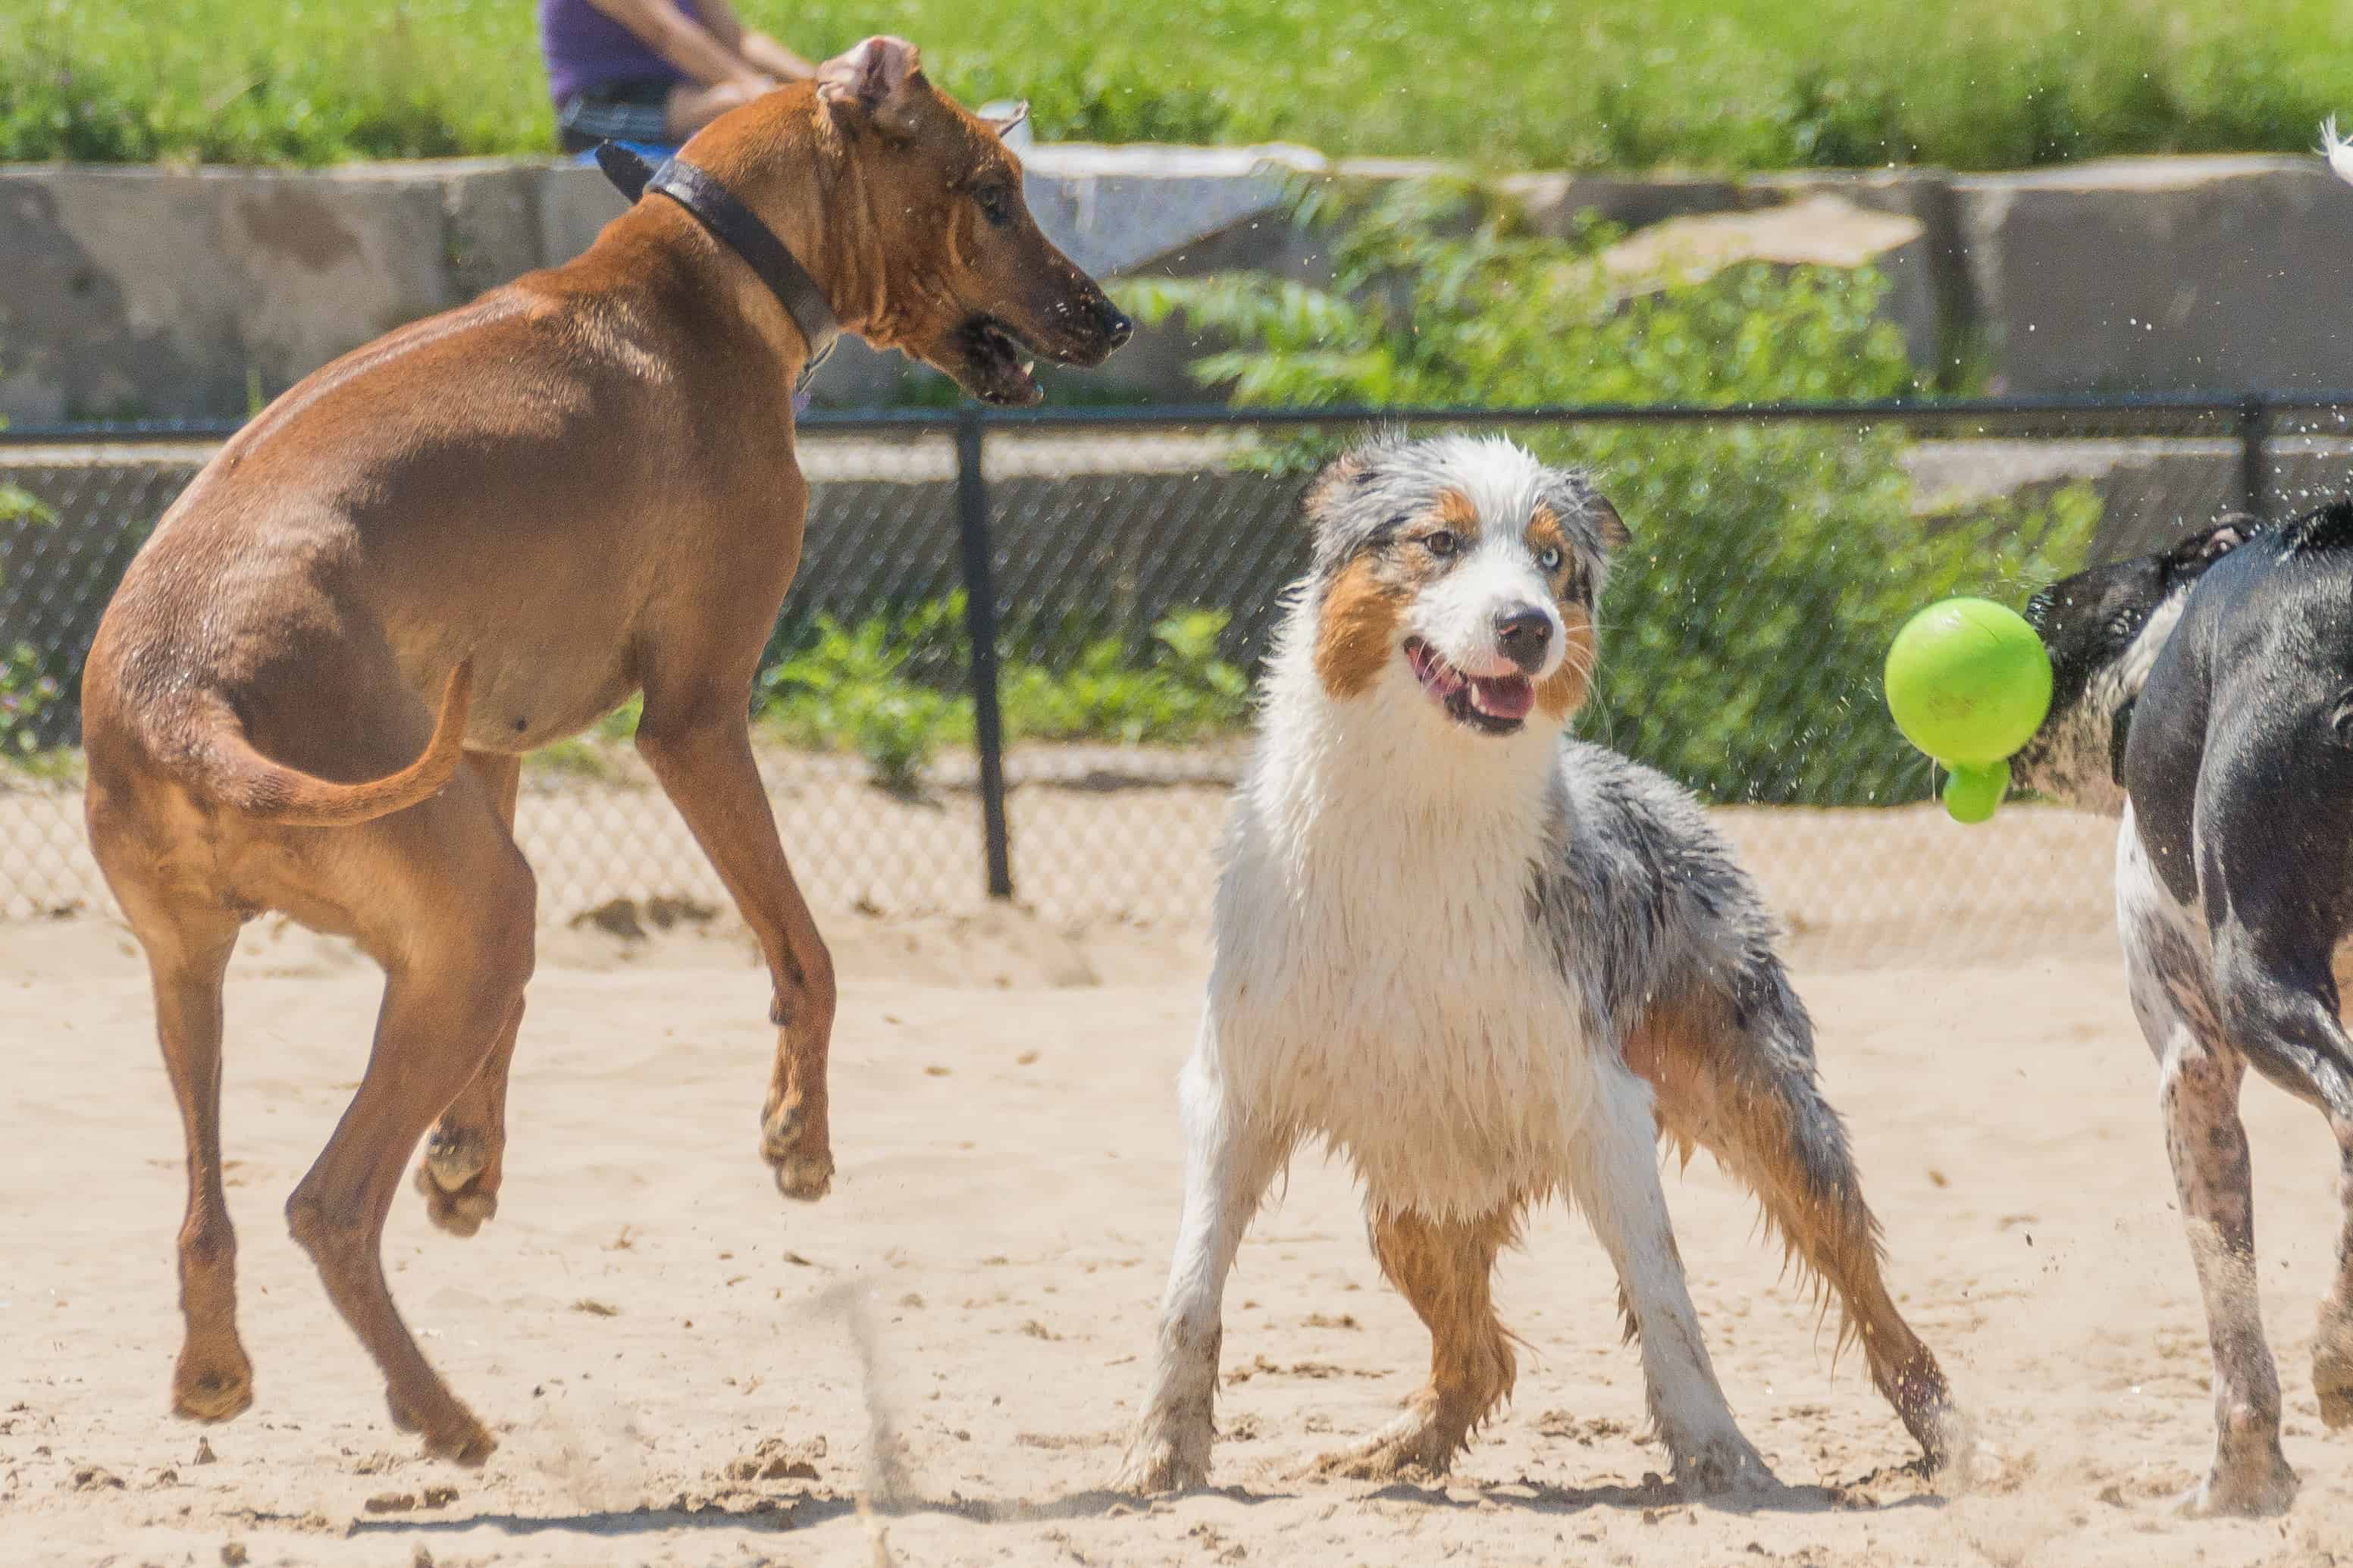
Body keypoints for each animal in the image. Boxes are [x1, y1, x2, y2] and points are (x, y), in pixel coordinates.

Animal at [83, 33, 1129, 1476]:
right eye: (993, 193)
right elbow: (808, 955)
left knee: (209, 1210)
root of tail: (184, 692)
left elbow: (519, 1024)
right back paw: (441, 1412)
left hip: (220, 964)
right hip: (469, 905)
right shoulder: (694, 717)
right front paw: (797, 1138)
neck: (703, 271)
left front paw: (468, 1158)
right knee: (323, 1203)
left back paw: (216, 1370)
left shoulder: (491, 752)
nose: (1114, 321)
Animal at [2004, 510, 2353, 1513]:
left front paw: (2241, 1481)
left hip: (2258, 981)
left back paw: (2338, 1352)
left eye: (2041, 611)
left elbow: (2229, 1307)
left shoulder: (2193, 1066)